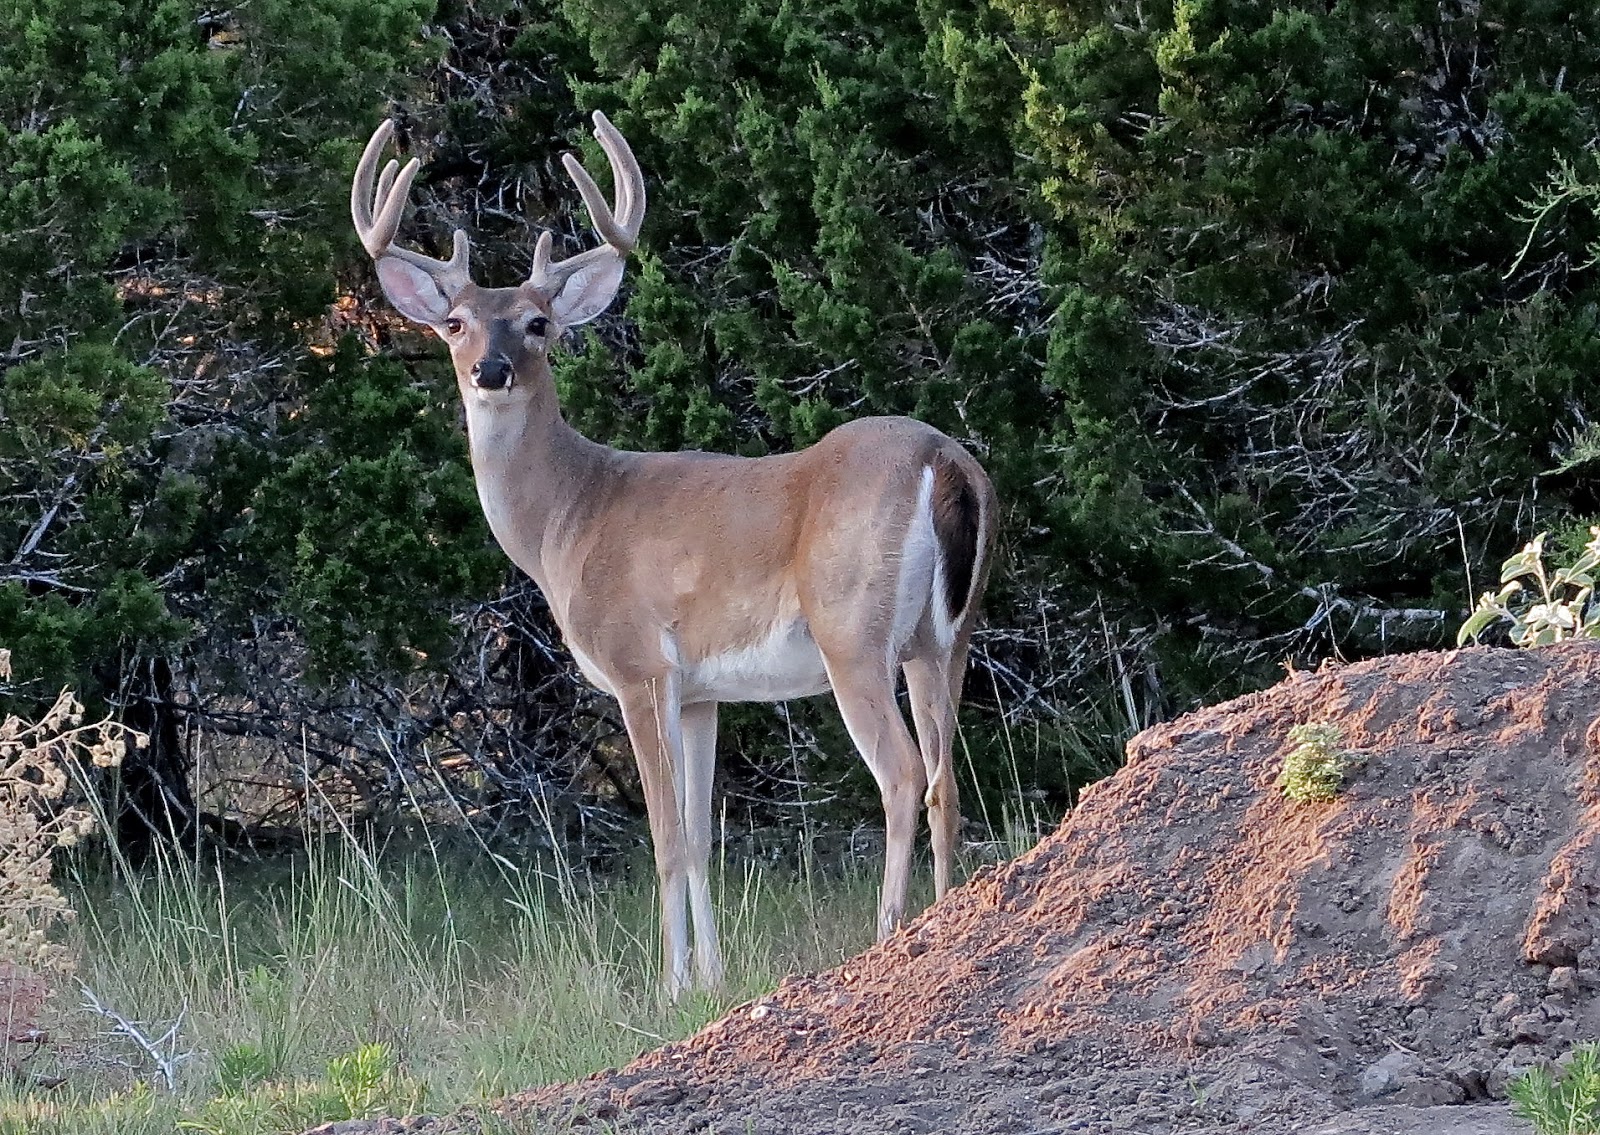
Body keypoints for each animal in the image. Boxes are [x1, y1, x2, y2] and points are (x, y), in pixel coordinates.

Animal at [356, 108, 992, 992]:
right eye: (455, 322)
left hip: (853, 633)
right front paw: (714, 979)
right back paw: (941, 919)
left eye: (538, 323)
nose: (489, 369)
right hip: (946, 637)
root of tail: (945, 460)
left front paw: (670, 984)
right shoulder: (700, 691)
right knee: (946, 780)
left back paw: (886, 934)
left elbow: (662, 837)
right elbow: (699, 834)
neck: (567, 518)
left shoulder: (638, 666)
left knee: (902, 775)